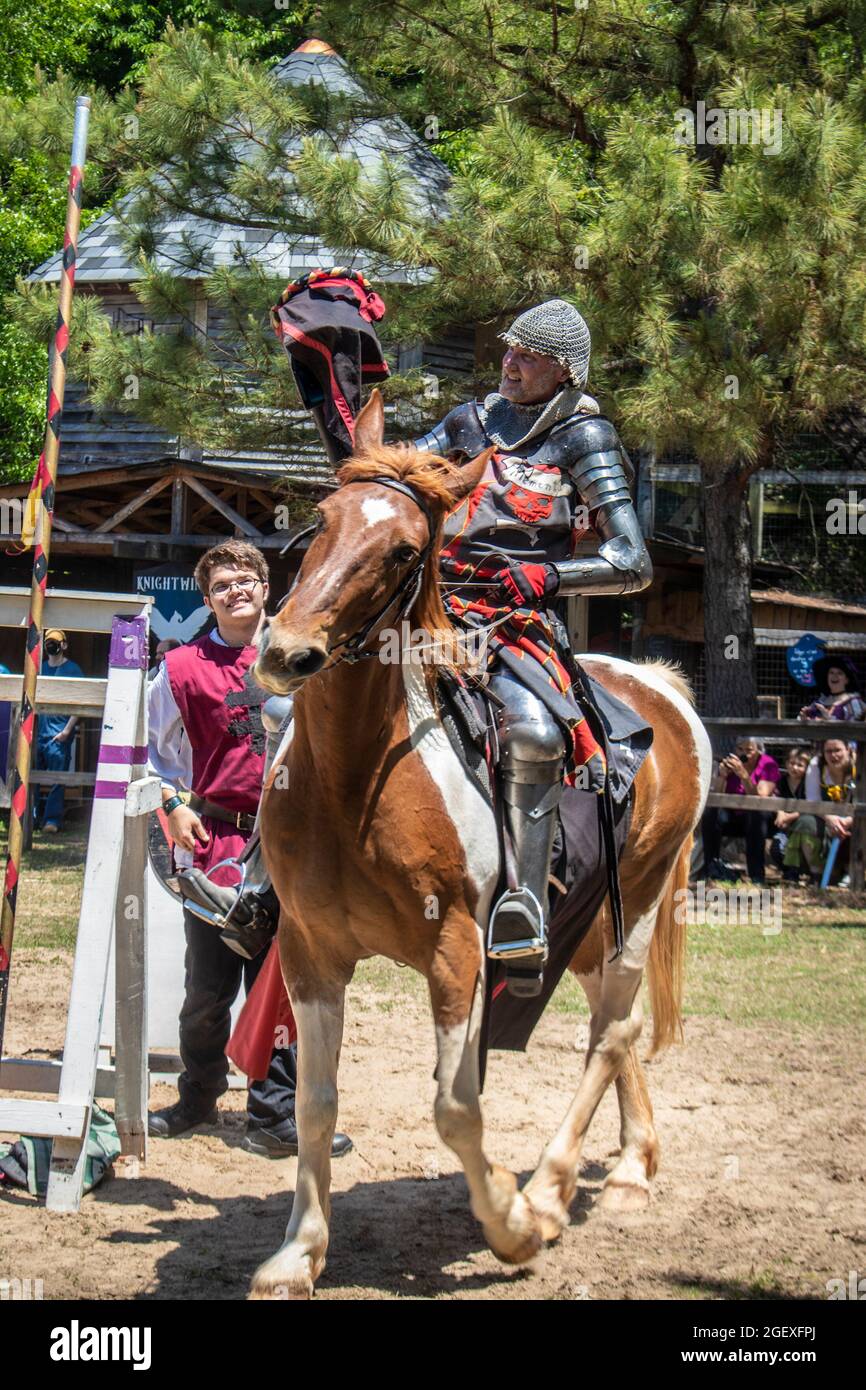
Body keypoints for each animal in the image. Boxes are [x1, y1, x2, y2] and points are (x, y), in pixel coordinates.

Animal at [252, 394, 711, 1301]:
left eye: (404, 550)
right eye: (322, 520)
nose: (286, 652)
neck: (357, 778)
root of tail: (659, 685)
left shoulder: (457, 951)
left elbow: (455, 1107)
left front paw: (512, 1223)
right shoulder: (309, 950)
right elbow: (318, 1101)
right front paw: (298, 1252)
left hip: (638, 900)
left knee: (612, 1030)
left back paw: (555, 1187)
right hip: (583, 924)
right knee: (616, 1024)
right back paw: (631, 1167)